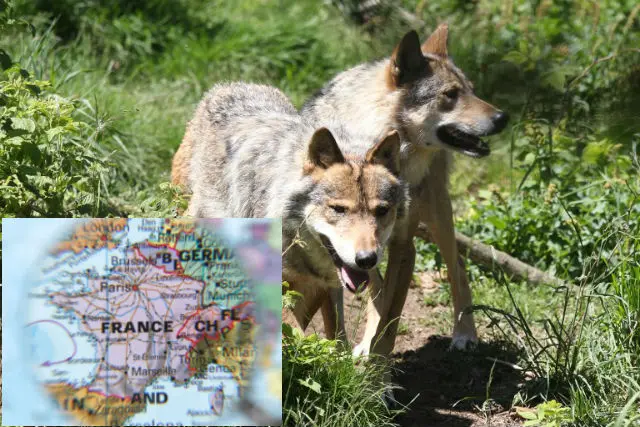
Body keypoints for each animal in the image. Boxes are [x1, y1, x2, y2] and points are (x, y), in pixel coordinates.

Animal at [171, 82, 408, 342]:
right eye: (338, 209)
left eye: (381, 211)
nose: (367, 259)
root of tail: (228, 86)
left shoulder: (328, 285)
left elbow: (336, 337)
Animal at [302, 24, 509, 356]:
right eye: (451, 94)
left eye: (472, 90)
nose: (503, 118)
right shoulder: (335, 244)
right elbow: (345, 311)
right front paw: (345, 353)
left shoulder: (404, 245)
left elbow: (391, 318)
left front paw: (379, 364)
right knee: (377, 286)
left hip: (438, 214)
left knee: (457, 264)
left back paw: (465, 334)